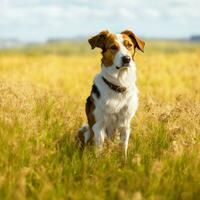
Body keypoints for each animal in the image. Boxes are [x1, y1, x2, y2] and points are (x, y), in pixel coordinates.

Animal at [76, 30, 145, 158]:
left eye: (129, 45)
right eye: (113, 47)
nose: (127, 59)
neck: (118, 86)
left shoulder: (125, 125)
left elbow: (123, 148)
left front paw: (123, 161)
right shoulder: (98, 126)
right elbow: (99, 150)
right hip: (85, 129)